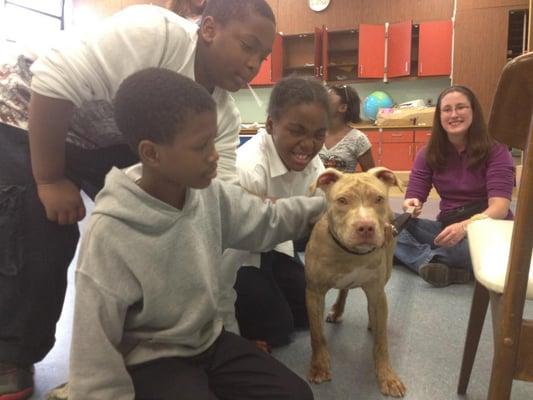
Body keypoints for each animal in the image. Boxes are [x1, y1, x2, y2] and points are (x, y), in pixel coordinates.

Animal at [306, 166, 406, 396]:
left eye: (378, 198)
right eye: (342, 200)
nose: (366, 227)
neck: (350, 253)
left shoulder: (377, 293)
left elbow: (381, 342)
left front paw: (386, 376)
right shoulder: (314, 292)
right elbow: (317, 334)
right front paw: (319, 366)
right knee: (344, 290)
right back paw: (337, 310)